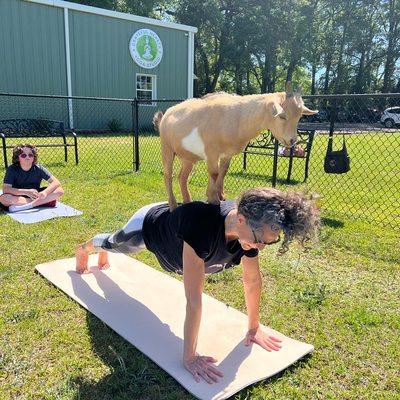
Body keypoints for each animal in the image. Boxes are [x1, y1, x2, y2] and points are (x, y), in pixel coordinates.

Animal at [154, 83, 318, 211]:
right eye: (282, 116)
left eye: (299, 116)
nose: (292, 140)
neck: (237, 117)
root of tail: (165, 117)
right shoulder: (211, 152)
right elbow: (214, 173)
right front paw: (213, 198)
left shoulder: (226, 154)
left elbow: (223, 171)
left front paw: (220, 196)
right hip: (166, 147)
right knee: (168, 175)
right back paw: (173, 205)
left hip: (187, 157)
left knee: (182, 177)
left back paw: (188, 202)